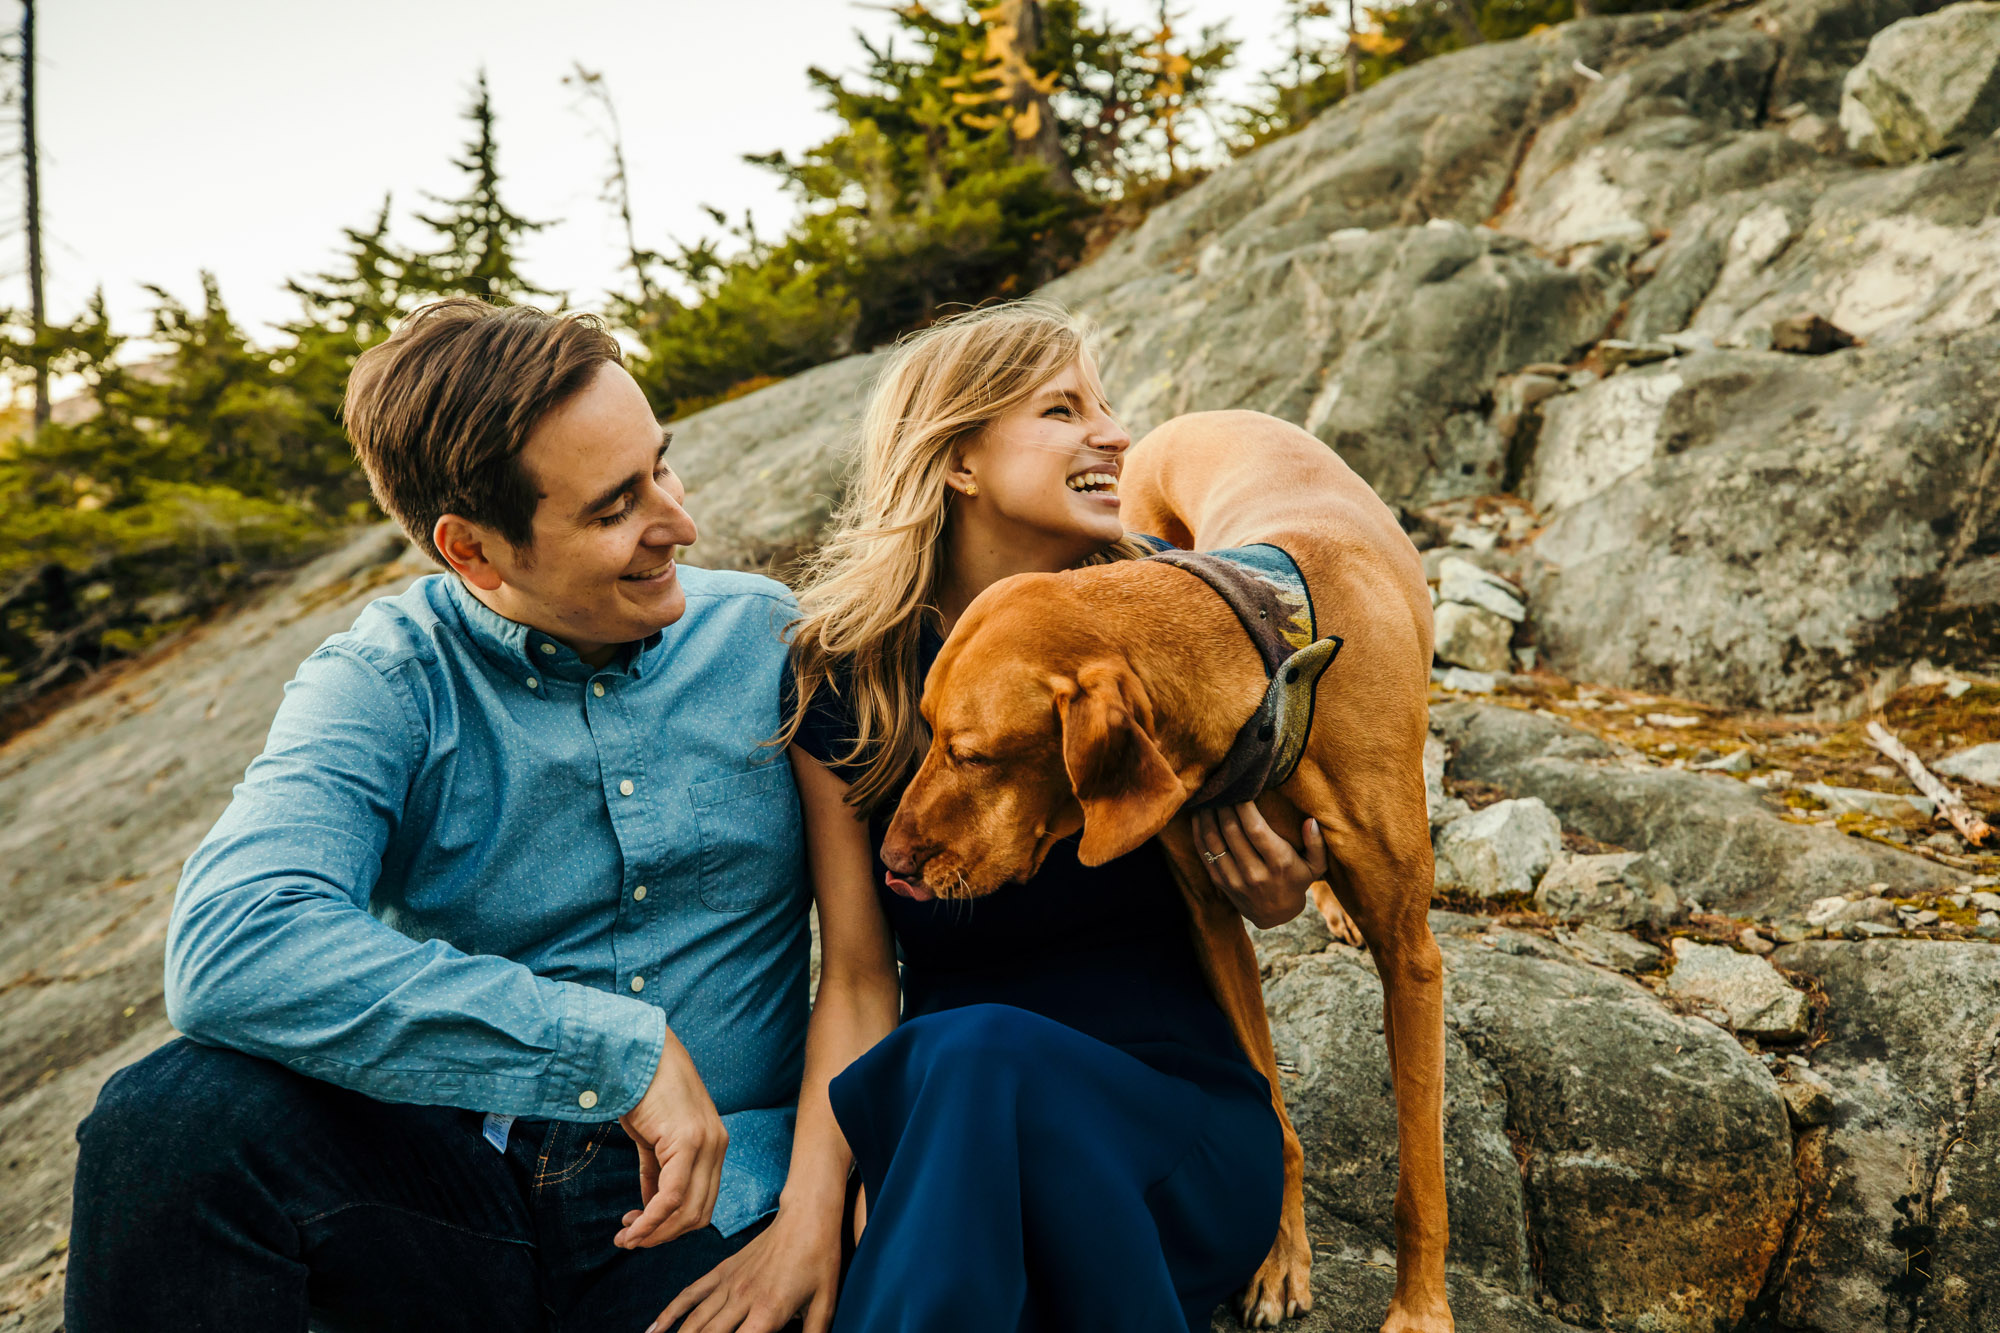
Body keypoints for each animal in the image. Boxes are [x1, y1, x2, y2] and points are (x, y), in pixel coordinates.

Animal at [884, 410, 1448, 1320]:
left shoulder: (1413, 956)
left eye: (971, 753)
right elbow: (1270, 1111)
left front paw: (1422, 1310)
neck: (1270, 679)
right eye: (925, 728)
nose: (890, 862)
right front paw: (1279, 1257)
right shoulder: (1211, 921)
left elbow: (1420, 1172)